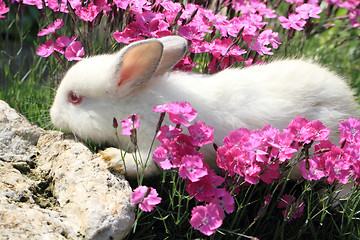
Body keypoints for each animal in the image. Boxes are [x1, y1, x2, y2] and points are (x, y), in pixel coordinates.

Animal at [50, 36, 358, 178]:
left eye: (74, 98)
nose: (52, 117)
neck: (135, 102)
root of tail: (349, 106)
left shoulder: (155, 146)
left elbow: (143, 165)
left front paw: (111, 157)